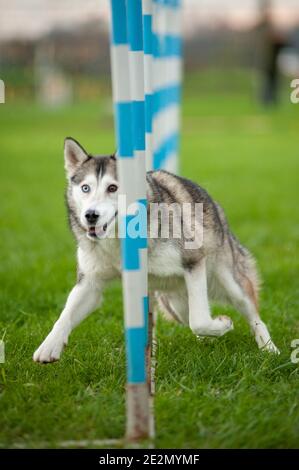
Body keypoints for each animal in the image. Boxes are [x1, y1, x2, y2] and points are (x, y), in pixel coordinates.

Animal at [34, 138, 280, 362]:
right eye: (85, 188)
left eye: (112, 188)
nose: (91, 215)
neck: (118, 239)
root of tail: (216, 207)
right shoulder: (90, 283)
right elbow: (65, 315)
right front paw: (49, 346)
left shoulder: (193, 261)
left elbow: (199, 321)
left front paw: (224, 324)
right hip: (174, 302)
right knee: (188, 313)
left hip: (229, 280)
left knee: (251, 314)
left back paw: (268, 348)